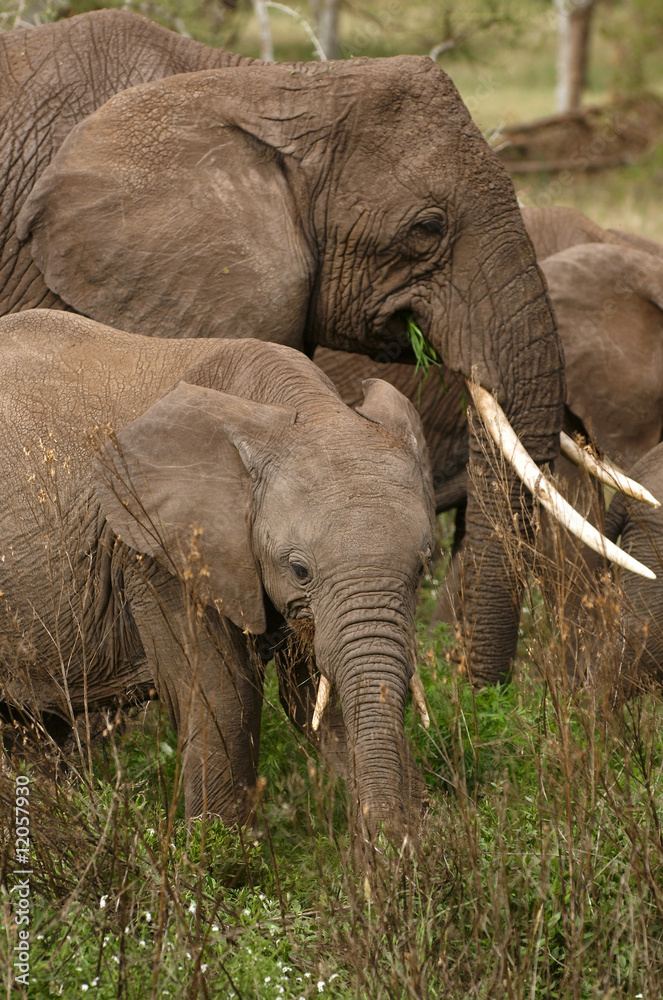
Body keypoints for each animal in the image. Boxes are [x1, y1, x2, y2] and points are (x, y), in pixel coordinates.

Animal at [0, 309, 436, 831]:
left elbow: (316, 697)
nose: (394, 837)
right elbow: (224, 698)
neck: (297, 407)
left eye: (422, 567)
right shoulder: (154, 551)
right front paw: (221, 849)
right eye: (299, 570)